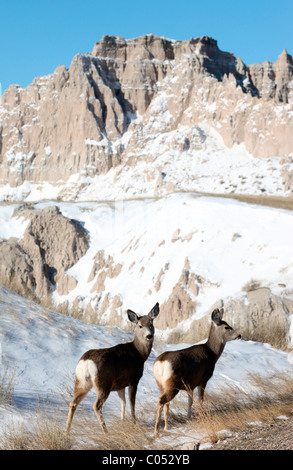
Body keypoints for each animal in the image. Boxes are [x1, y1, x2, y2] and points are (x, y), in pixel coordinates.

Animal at [65, 302, 160, 434]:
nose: (149, 336)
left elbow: (123, 403)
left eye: (151, 324)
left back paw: (66, 432)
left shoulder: (120, 385)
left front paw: (122, 422)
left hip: (81, 381)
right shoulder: (133, 380)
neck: (139, 353)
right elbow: (131, 403)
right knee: (96, 406)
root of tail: (86, 362)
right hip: (103, 383)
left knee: (73, 403)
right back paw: (105, 431)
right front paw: (133, 423)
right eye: (140, 326)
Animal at [153, 308, 240, 436]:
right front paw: (203, 416)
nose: (239, 335)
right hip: (172, 384)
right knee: (161, 401)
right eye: (226, 327)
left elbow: (190, 401)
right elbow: (200, 399)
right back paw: (156, 431)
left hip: (161, 384)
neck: (212, 354)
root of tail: (160, 363)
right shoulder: (203, 379)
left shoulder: (190, 385)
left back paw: (166, 428)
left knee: (166, 404)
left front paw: (189, 418)